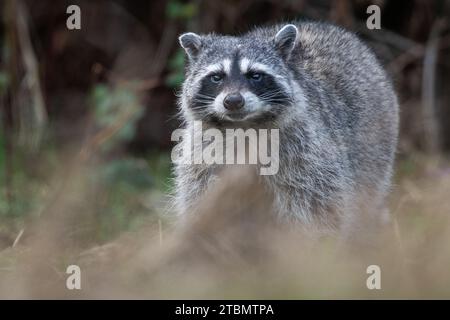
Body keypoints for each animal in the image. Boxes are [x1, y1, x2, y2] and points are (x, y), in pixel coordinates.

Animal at [174, 20, 400, 235]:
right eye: (216, 77)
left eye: (255, 76)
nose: (233, 101)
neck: (242, 126)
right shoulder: (203, 154)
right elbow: (201, 200)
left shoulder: (305, 152)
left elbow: (317, 206)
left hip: (376, 146)